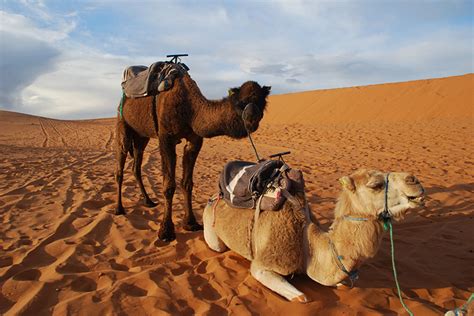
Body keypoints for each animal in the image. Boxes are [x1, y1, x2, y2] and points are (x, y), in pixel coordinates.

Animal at [115, 73, 270, 241]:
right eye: (240, 103)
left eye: (261, 101)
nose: (251, 118)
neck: (191, 109)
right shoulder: (166, 138)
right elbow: (169, 185)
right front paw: (166, 231)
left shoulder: (194, 141)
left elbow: (187, 183)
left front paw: (191, 223)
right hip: (122, 124)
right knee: (120, 163)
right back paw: (119, 208)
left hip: (141, 136)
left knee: (136, 165)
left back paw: (148, 201)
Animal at [202, 169, 424, 302]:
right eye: (375, 185)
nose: (414, 181)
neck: (306, 242)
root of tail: (213, 196)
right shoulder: (263, 266)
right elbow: (302, 298)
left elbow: (341, 285)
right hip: (212, 232)